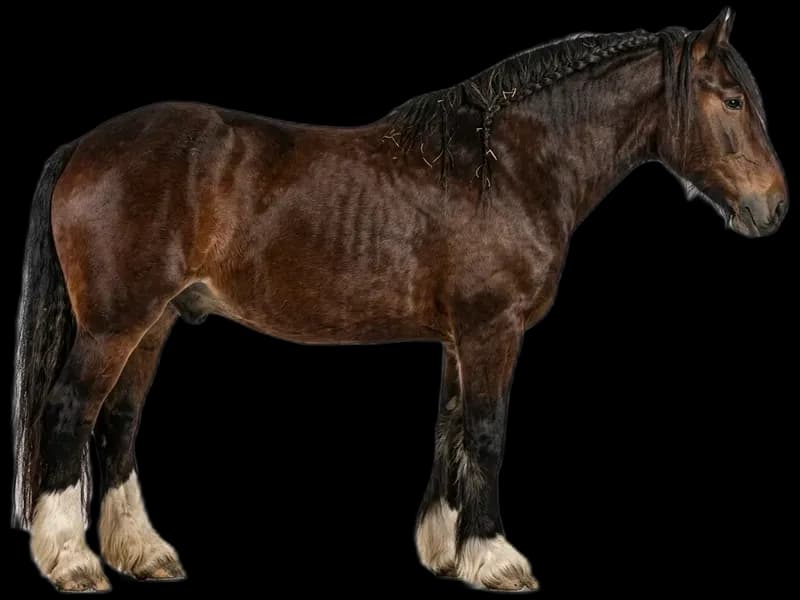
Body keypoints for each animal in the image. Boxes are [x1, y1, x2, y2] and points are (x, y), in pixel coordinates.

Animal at [11, 7, 787, 592]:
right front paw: (494, 558)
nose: (773, 207)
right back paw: (73, 561)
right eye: (733, 100)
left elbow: (449, 429)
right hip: (115, 325)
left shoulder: (459, 337)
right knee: (71, 412)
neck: (509, 165)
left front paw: (447, 550)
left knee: (118, 422)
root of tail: (84, 146)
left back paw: (142, 553)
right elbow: (486, 432)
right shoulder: (492, 331)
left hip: (154, 323)